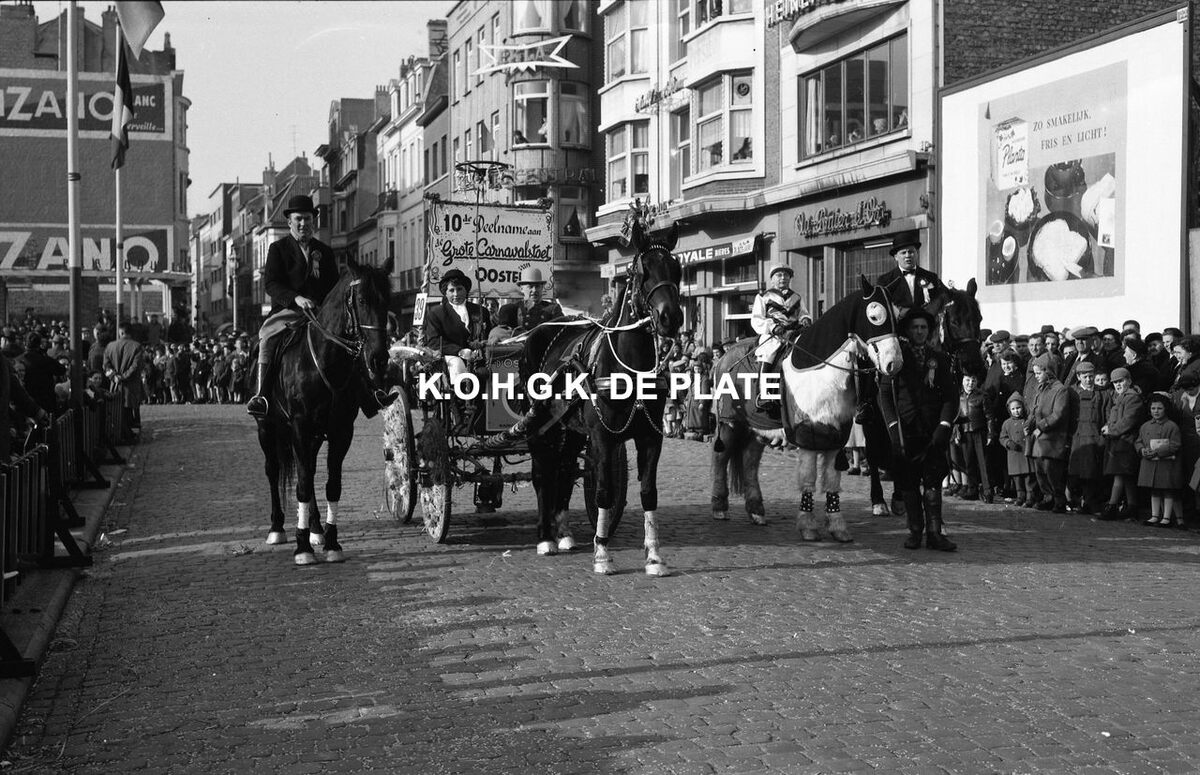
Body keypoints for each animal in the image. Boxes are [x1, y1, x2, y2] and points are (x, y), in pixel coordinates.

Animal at [256, 255, 394, 565]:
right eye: (362, 300)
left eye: (387, 301)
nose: (379, 359)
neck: (323, 360)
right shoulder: (299, 426)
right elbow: (302, 485)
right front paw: (302, 547)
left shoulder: (341, 430)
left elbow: (331, 484)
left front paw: (330, 541)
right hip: (267, 427)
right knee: (273, 470)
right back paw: (277, 527)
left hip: (315, 436)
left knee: (309, 469)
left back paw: (316, 528)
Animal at [519, 221, 683, 575]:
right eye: (643, 271)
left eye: (676, 269)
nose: (671, 318)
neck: (631, 366)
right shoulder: (604, 438)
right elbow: (605, 492)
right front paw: (602, 553)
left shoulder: (651, 437)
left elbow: (648, 493)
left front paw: (654, 556)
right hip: (540, 425)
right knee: (543, 474)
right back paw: (545, 538)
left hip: (569, 428)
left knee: (564, 470)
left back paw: (564, 532)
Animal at [710, 277, 904, 540]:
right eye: (874, 316)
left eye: (897, 316)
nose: (895, 363)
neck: (820, 370)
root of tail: (723, 357)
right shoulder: (807, 434)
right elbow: (809, 479)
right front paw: (808, 526)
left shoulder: (835, 435)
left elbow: (832, 480)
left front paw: (837, 526)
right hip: (731, 422)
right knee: (721, 456)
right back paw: (719, 507)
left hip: (756, 427)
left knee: (750, 461)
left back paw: (756, 510)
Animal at [862, 279, 984, 516]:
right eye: (954, 321)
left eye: (979, 319)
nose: (975, 365)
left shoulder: (941, 423)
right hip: (871, 420)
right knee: (874, 453)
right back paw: (879, 500)